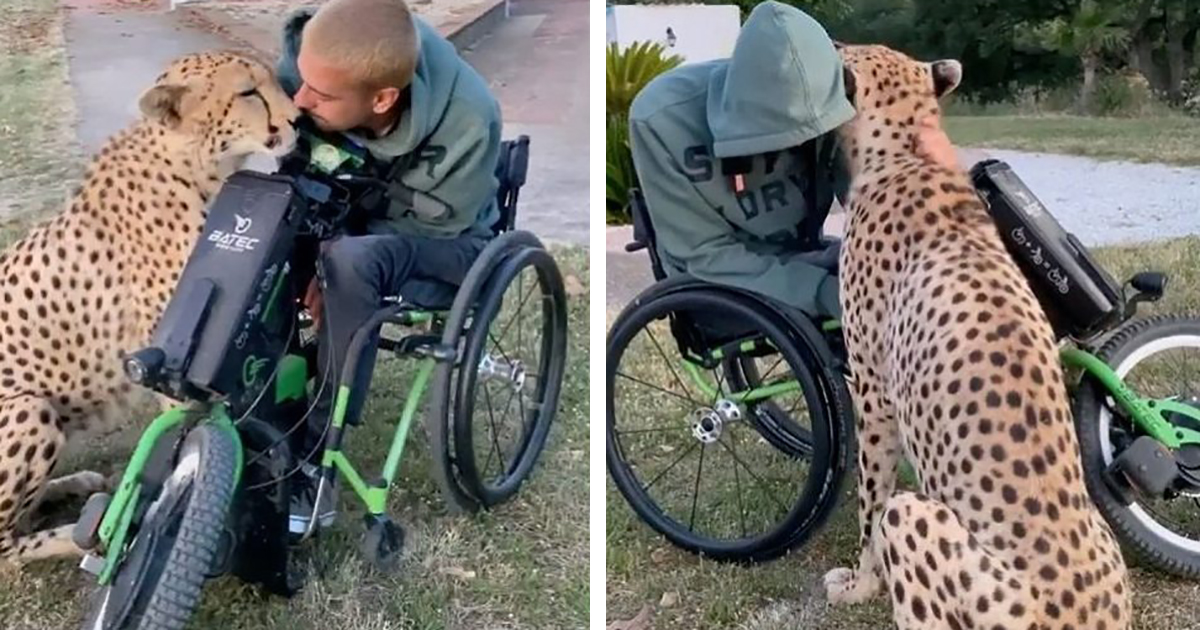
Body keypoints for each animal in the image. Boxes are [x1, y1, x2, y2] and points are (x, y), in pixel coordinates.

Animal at [0, 50, 299, 565]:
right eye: (248, 92)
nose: (298, 119)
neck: (197, 165)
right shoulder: (178, 364)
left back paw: (72, 486)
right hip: (28, 407)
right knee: (6, 546)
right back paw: (78, 532)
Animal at [823, 43, 1131, 630]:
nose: (826, 46)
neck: (906, 148)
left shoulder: (873, 395)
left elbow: (870, 503)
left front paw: (860, 584)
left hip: (917, 519)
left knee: (897, 520)